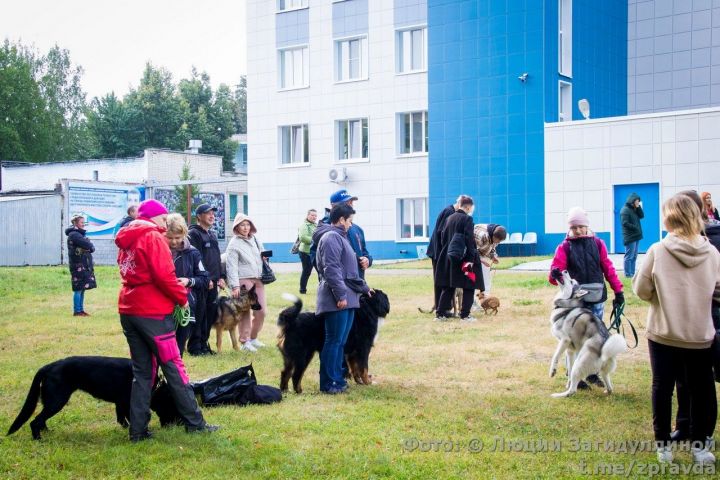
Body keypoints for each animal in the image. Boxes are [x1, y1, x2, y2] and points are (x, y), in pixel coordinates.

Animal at [8, 354, 179, 440]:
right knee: (35, 422)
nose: (174, 426)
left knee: (41, 420)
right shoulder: (128, 401)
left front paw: (125, 428)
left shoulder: (120, 402)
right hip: (57, 401)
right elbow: (132, 418)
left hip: (52, 402)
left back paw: (47, 433)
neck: (155, 387)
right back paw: (38, 439)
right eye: (173, 409)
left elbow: (121, 418)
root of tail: (48, 366)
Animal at [548, 270, 628, 398]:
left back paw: (560, 395)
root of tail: (605, 347)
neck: (567, 305)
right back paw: (607, 391)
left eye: (571, 281)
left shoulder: (564, 340)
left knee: (573, 390)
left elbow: (555, 356)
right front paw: (568, 383)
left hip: (579, 362)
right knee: (609, 385)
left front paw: (552, 371)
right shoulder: (570, 350)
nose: (564, 270)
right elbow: (569, 368)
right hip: (602, 371)